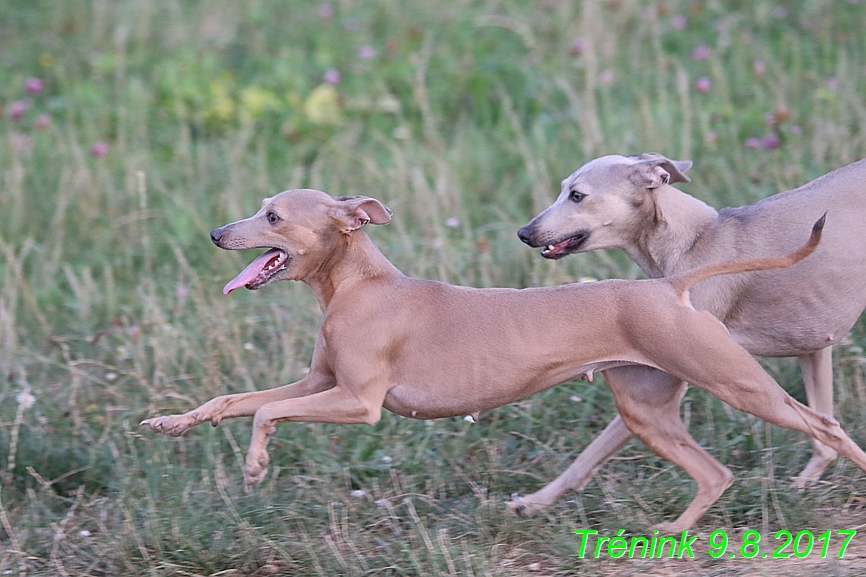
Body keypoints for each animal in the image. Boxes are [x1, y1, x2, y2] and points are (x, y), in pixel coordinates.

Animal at [142, 188, 856, 532]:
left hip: (735, 384)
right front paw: (170, 424)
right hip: (648, 411)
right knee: (715, 474)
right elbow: (235, 402)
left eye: (272, 215)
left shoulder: (358, 403)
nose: (217, 234)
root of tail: (667, 286)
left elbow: (267, 417)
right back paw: (675, 531)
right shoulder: (319, 382)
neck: (360, 286)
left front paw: (255, 468)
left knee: (825, 425)